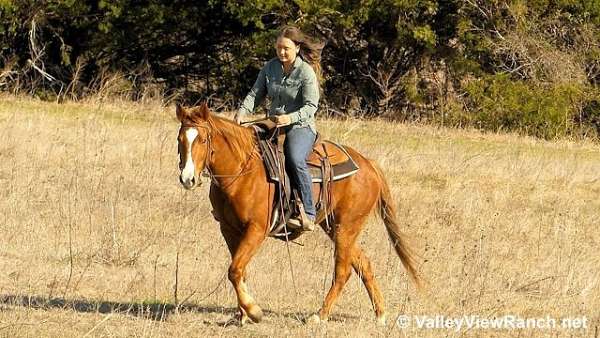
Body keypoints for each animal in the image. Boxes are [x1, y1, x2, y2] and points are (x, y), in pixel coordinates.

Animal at [175, 103, 418, 324]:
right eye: (180, 140)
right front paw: (243, 315)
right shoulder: (229, 229)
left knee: (343, 272)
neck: (242, 171)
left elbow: (234, 270)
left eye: (202, 140)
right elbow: (240, 270)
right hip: (335, 227)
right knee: (363, 264)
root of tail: (368, 164)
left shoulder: (256, 230)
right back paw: (380, 314)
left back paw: (320, 315)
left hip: (346, 228)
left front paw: (254, 312)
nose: (188, 179)